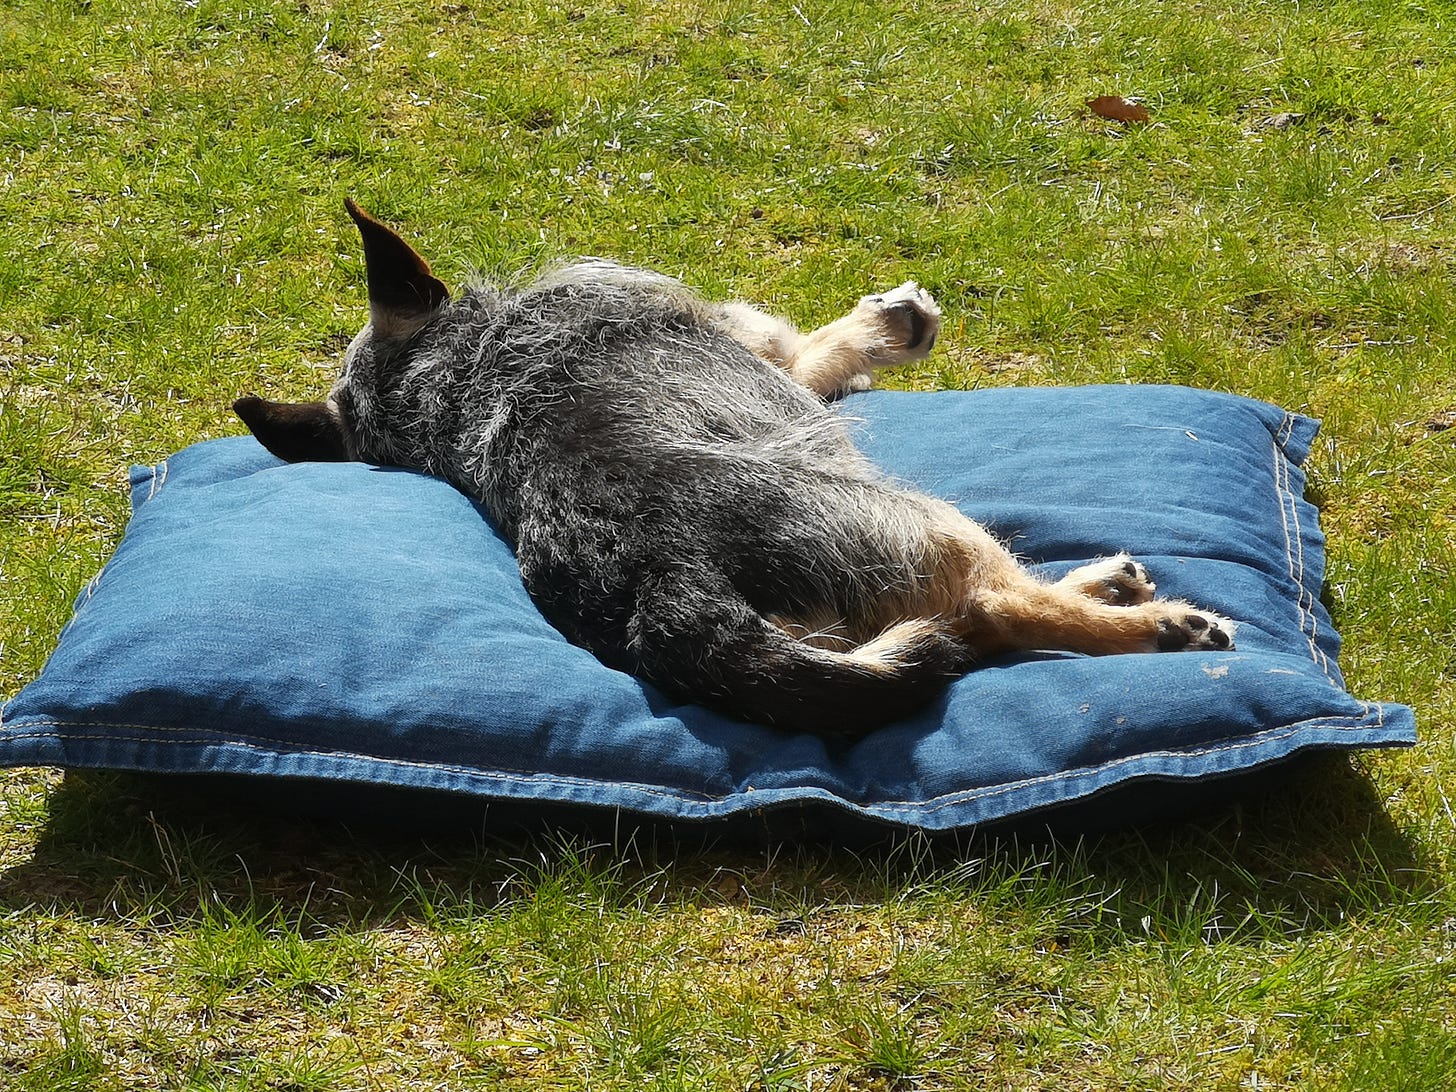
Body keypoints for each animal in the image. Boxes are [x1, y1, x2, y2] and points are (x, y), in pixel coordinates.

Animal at [232, 205, 1234, 736]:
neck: (452, 374)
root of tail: (670, 587)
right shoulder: (761, 347)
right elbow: (816, 347)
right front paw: (887, 324)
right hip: (929, 525)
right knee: (1002, 610)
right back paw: (1151, 621)